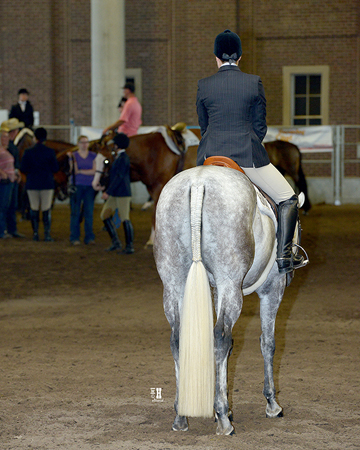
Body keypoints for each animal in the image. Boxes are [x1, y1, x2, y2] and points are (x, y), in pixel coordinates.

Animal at [153, 166, 288, 436]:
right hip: (230, 283)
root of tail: (197, 182)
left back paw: (181, 417)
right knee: (221, 337)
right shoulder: (272, 289)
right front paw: (271, 404)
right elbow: (267, 343)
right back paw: (225, 421)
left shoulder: (215, 292)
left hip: (173, 282)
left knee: (178, 339)